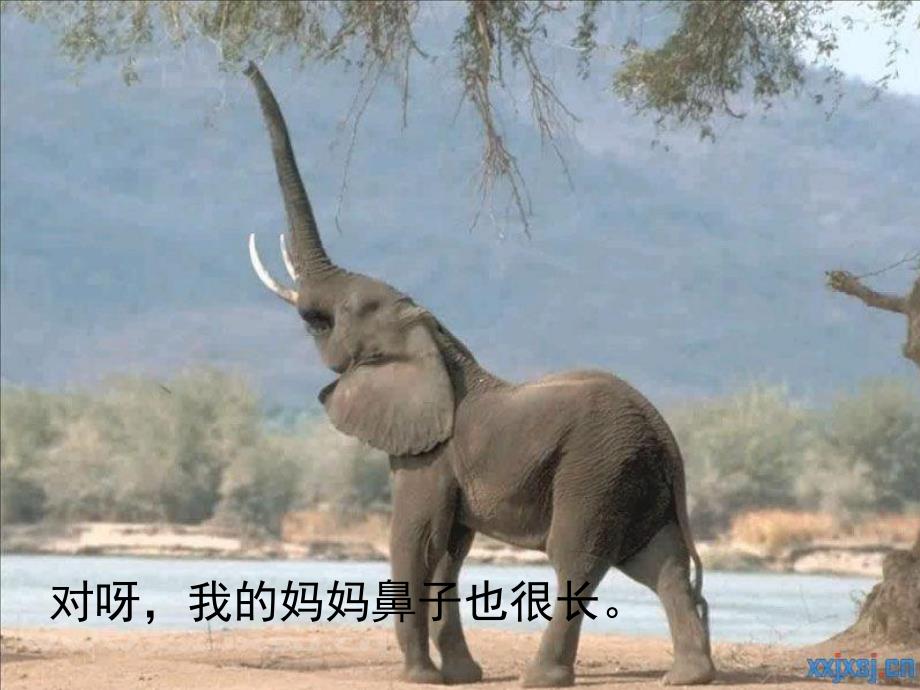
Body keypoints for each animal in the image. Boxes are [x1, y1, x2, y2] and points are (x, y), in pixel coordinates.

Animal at [241, 62, 716, 688]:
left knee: (577, 557)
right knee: (659, 562)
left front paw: (418, 678)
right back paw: (689, 676)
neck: (435, 341)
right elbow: (448, 551)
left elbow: (415, 540)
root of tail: (667, 440)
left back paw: (542, 678)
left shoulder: (428, 453)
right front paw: (461, 675)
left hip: (598, 468)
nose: (246, 65)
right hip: (636, 476)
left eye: (338, 315)